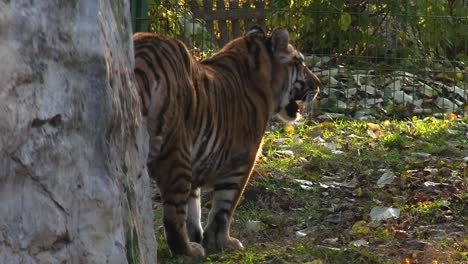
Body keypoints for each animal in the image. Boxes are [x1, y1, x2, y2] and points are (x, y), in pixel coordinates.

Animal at [133, 25, 320, 256]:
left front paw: (199, 235)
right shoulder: (241, 160)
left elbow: (193, 207)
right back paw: (189, 251)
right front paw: (221, 242)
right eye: (300, 63)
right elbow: (224, 207)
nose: (318, 85)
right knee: (173, 216)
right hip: (176, 150)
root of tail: (143, 52)